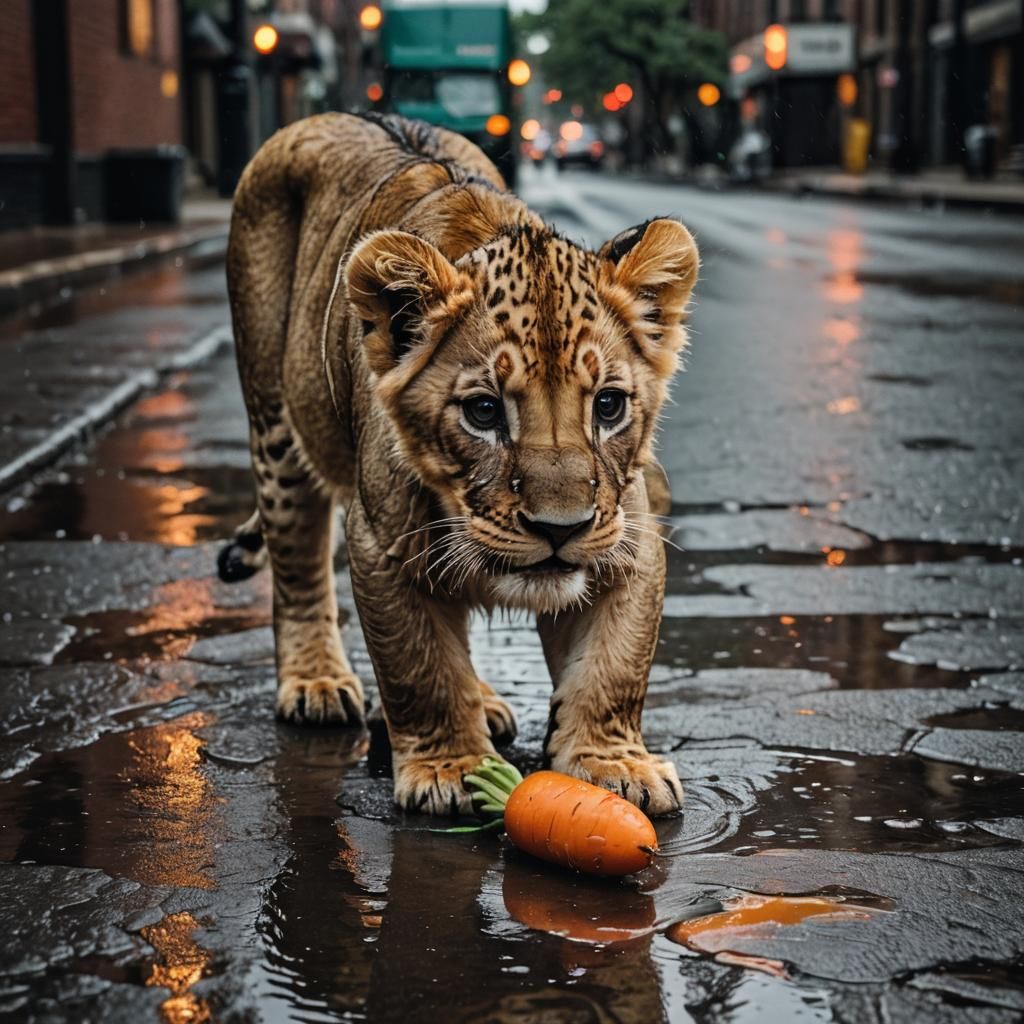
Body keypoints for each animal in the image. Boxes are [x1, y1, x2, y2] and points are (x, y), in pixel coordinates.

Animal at [218, 113, 698, 817]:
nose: (560, 530)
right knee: (297, 561)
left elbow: (614, 668)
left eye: (608, 405)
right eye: (483, 412)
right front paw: (451, 770)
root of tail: (332, 116)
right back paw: (316, 683)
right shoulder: (382, 544)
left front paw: (613, 764)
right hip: (275, 421)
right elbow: (420, 668)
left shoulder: (627, 540)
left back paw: (489, 704)